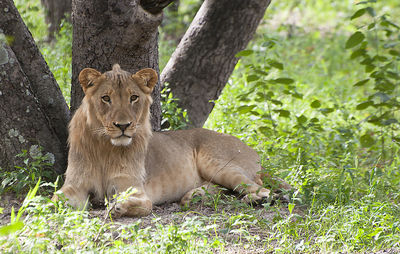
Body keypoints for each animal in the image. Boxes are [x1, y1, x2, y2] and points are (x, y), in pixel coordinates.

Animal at [54, 63, 290, 216]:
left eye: (133, 97)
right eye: (106, 98)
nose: (123, 126)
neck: (104, 146)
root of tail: (253, 151)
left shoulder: (134, 189)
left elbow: (142, 204)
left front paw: (119, 207)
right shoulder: (75, 185)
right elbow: (55, 200)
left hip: (220, 164)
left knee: (257, 186)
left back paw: (257, 199)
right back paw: (195, 196)